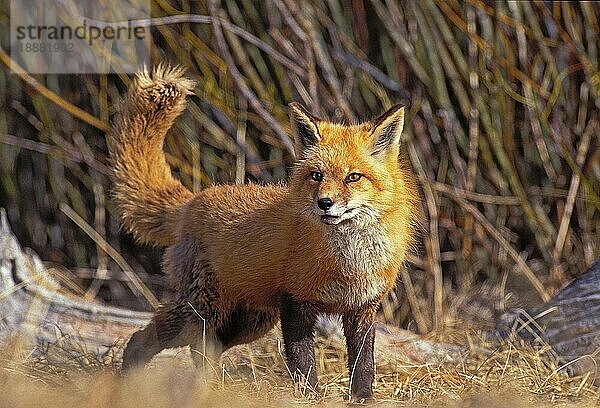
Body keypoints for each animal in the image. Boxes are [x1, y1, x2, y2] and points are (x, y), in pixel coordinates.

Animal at [108, 63, 420, 402]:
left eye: (353, 177)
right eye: (316, 176)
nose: (324, 203)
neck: (349, 261)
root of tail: (194, 200)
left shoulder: (362, 308)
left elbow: (363, 364)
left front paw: (363, 399)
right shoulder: (295, 301)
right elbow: (303, 363)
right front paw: (309, 398)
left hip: (246, 322)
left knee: (203, 352)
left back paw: (210, 390)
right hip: (200, 311)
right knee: (142, 339)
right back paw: (126, 385)